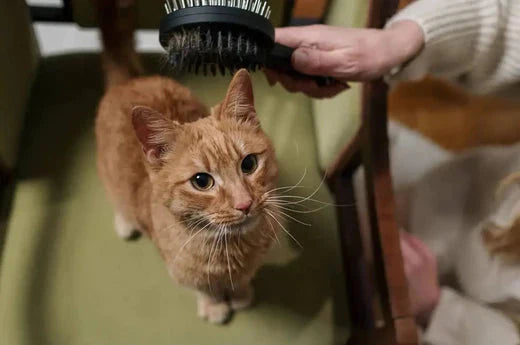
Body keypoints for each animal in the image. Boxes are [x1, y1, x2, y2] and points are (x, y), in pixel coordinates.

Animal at [94, 0, 280, 324]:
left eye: (248, 164)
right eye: (201, 181)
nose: (244, 204)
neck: (229, 250)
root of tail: (131, 80)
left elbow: (244, 279)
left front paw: (241, 294)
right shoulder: (182, 272)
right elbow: (204, 289)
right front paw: (214, 306)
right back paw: (125, 222)